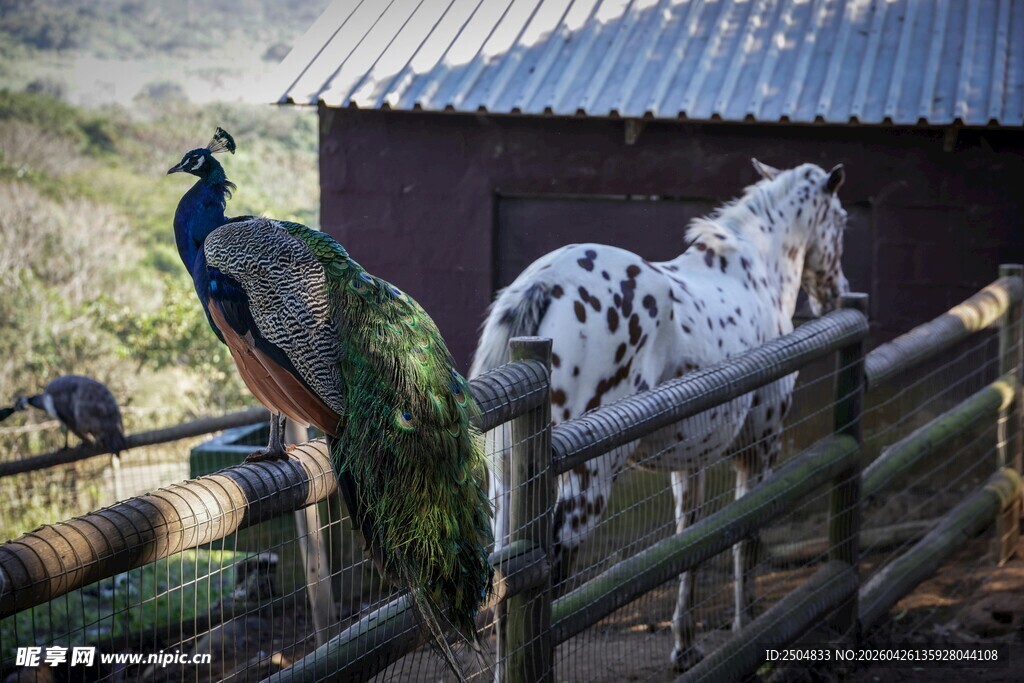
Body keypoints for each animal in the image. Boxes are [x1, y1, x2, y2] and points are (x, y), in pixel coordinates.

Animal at [470, 159, 849, 670]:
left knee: (506, 592)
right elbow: (745, 538)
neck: (756, 271)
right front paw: (748, 629)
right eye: (843, 220)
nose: (837, 293)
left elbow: (689, 543)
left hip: (506, 488)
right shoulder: (761, 446)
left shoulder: (690, 462)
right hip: (584, 485)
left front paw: (684, 645)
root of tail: (543, 284)